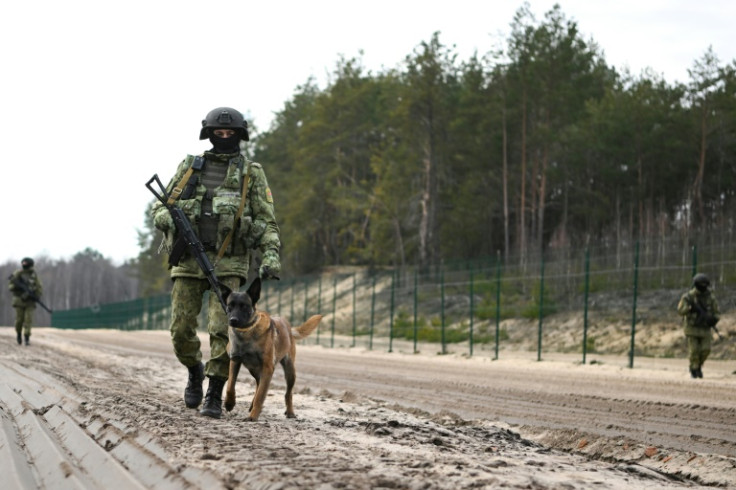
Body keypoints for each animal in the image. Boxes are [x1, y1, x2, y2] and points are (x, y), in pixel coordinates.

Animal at [220, 276, 320, 422]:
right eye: (229, 306)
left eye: (244, 306)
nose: (233, 320)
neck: (247, 333)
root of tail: (287, 325)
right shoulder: (235, 361)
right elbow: (230, 385)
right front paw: (229, 403)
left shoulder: (268, 368)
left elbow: (261, 395)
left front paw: (253, 416)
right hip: (255, 370)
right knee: (258, 384)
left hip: (290, 371)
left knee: (288, 393)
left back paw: (290, 412)